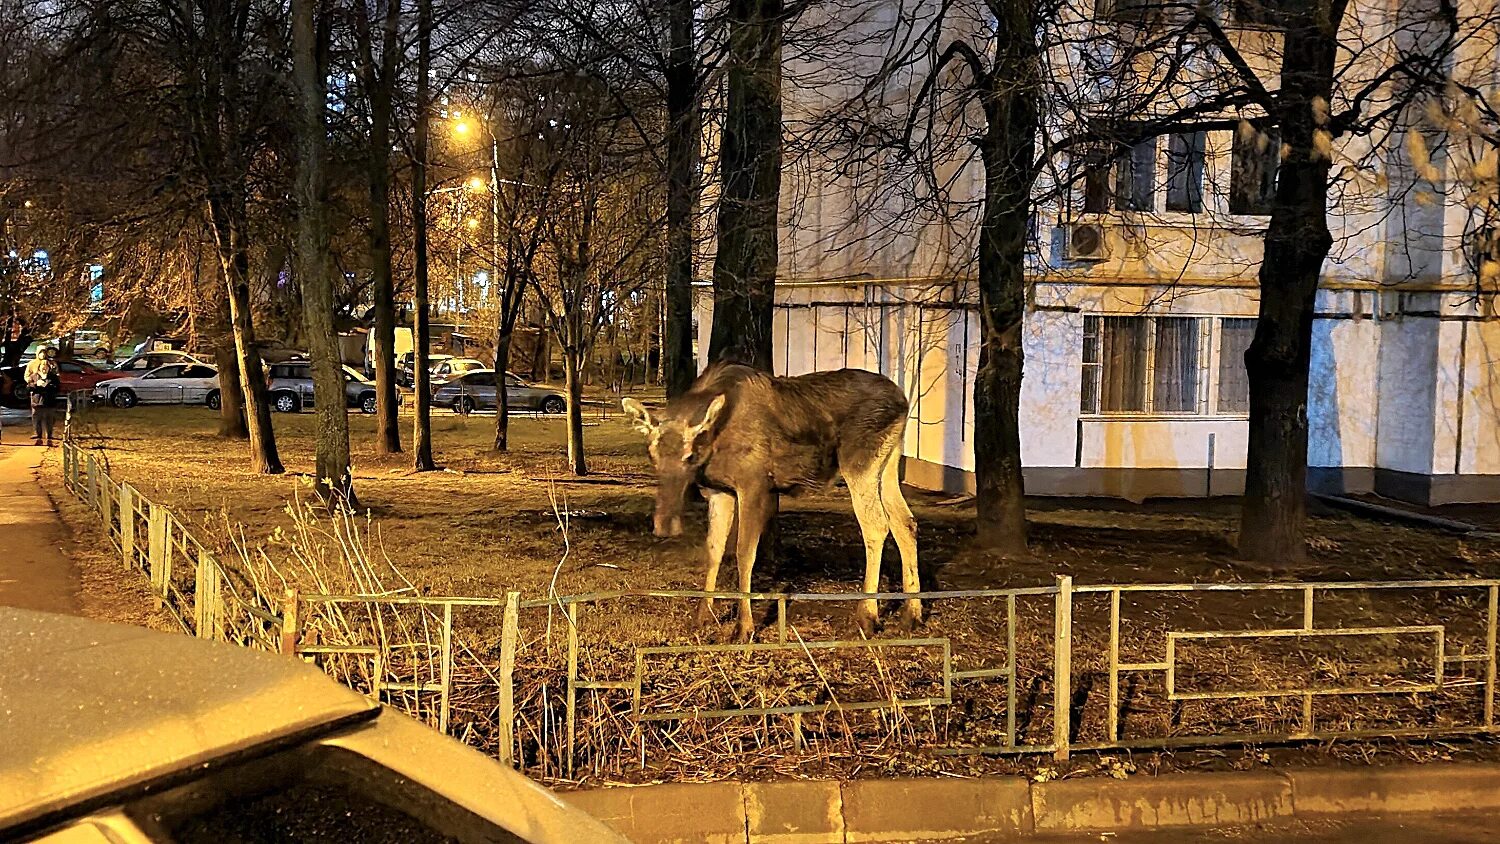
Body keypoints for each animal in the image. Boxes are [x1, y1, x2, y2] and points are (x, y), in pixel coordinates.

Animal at [618, 362, 918, 641]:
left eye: (689, 455)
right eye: (652, 454)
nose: (664, 524)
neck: (715, 441)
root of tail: (903, 402)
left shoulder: (754, 485)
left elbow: (744, 553)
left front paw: (744, 628)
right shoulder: (719, 491)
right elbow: (714, 549)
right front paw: (703, 615)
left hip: (858, 462)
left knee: (876, 525)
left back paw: (867, 616)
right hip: (888, 463)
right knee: (905, 522)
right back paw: (911, 614)